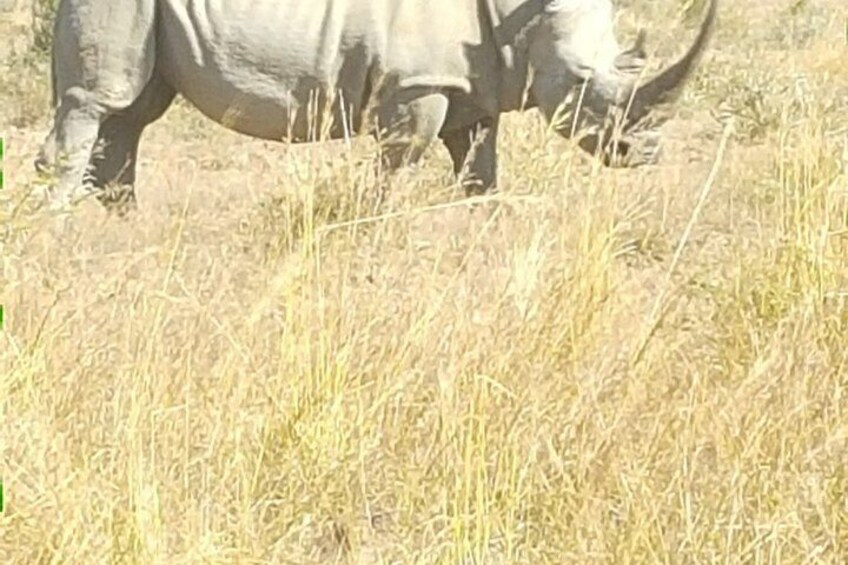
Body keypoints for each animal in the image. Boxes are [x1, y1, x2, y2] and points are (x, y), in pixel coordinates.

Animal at [36, 0, 717, 211]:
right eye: (579, 84)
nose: (644, 152)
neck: (519, 17)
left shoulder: (473, 88)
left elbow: (480, 169)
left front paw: (486, 223)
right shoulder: (414, 85)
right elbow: (397, 165)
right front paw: (375, 226)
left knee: (132, 115)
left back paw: (124, 226)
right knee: (99, 103)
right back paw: (58, 231)